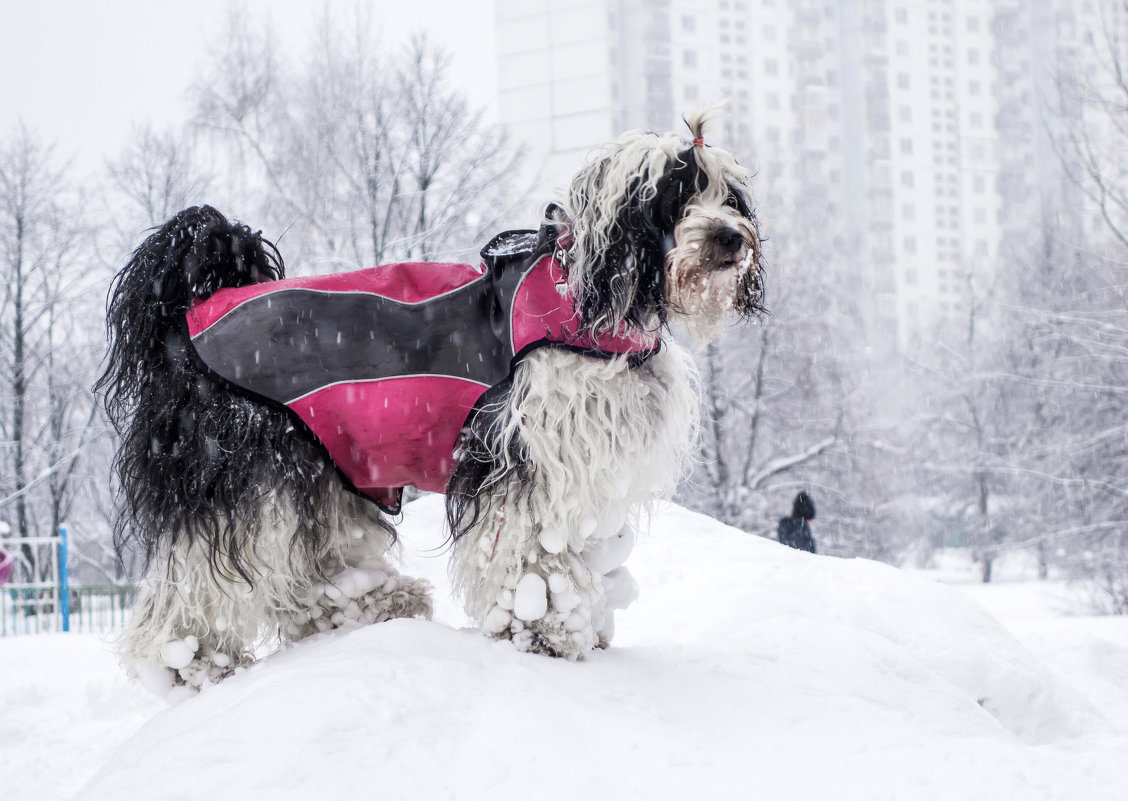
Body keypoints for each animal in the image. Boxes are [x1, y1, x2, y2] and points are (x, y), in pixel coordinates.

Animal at [99, 112, 767, 694]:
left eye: (729, 198)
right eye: (675, 195)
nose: (732, 238)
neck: (587, 300)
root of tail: (186, 317)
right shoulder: (525, 458)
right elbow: (534, 556)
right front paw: (543, 631)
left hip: (323, 466)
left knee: (312, 566)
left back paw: (372, 606)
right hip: (242, 474)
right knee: (198, 581)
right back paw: (192, 664)